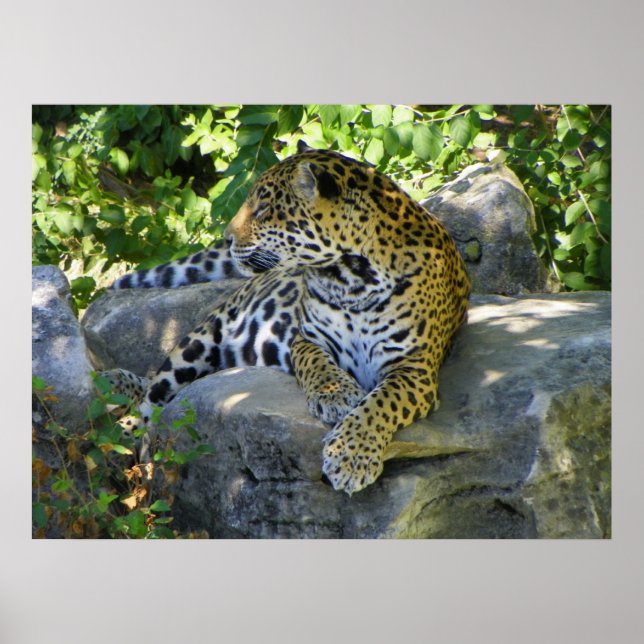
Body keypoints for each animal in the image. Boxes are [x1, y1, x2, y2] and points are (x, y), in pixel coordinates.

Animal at [106, 142, 471, 495]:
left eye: (263, 208)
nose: (226, 238)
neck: (351, 278)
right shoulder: (307, 340)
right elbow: (317, 364)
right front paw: (335, 395)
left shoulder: (414, 369)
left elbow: (380, 405)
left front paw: (351, 458)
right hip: (197, 344)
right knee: (149, 403)